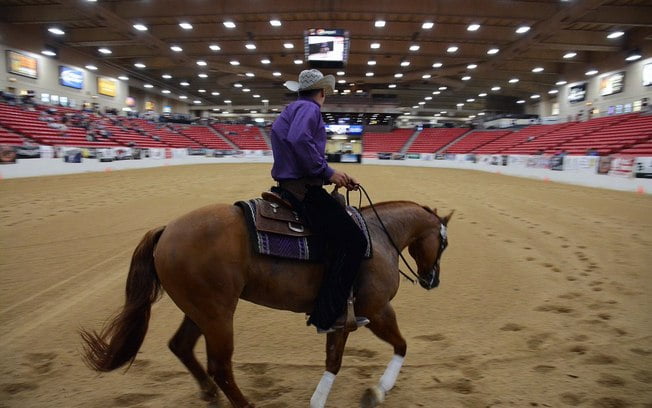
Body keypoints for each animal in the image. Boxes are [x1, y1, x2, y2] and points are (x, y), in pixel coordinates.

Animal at [81, 199, 450, 406]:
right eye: (443, 244)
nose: (433, 280)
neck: (377, 237)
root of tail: (167, 230)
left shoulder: (341, 318)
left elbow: (333, 360)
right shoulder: (376, 310)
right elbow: (401, 345)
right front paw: (379, 390)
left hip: (200, 311)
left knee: (181, 346)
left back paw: (210, 395)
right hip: (218, 315)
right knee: (220, 367)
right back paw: (242, 404)